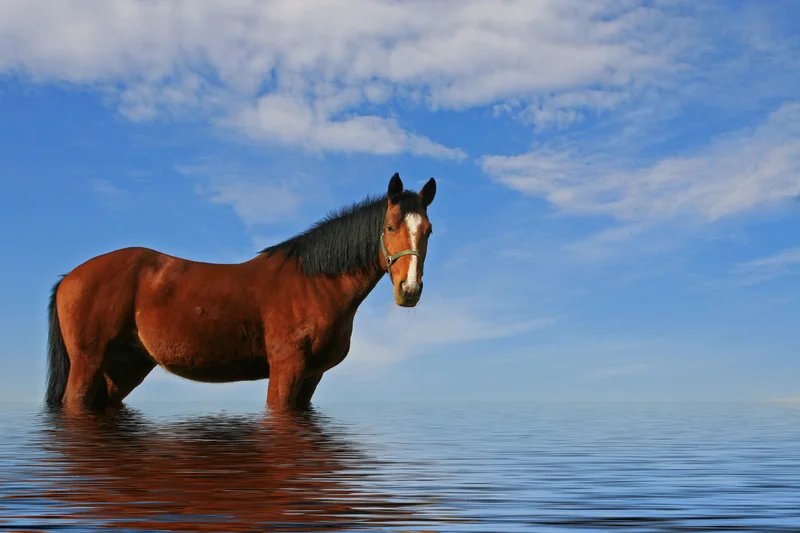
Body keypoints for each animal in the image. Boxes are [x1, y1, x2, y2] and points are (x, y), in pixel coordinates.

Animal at [45, 173, 436, 412]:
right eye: (390, 227)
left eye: (428, 230)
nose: (409, 290)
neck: (314, 283)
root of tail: (69, 278)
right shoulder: (286, 369)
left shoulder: (312, 376)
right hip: (88, 363)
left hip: (124, 367)